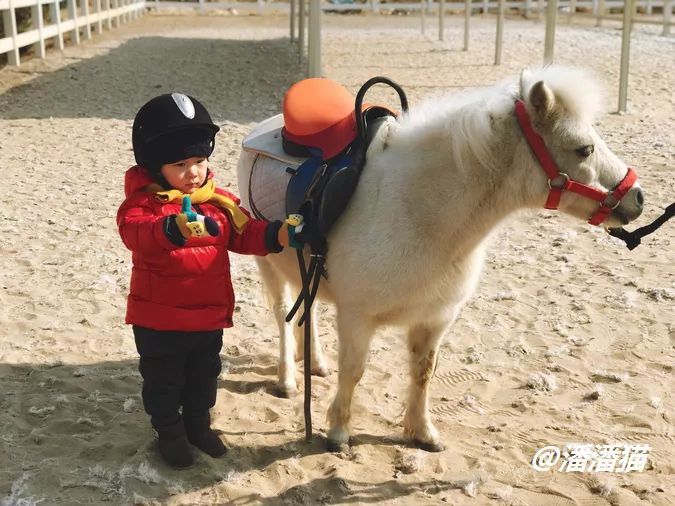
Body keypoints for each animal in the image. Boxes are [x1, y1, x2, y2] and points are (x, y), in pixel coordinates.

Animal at [236, 67, 644, 450]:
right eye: (583, 149)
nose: (637, 197)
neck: (416, 211)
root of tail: (266, 126)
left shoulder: (435, 318)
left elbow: (422, 372)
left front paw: (422, 432)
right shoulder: (357, 317)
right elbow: (353, 371)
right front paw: (338, 431)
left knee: (309, 308)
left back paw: (316, 363)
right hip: (268, 264)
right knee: (283, 314)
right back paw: (288, 378)